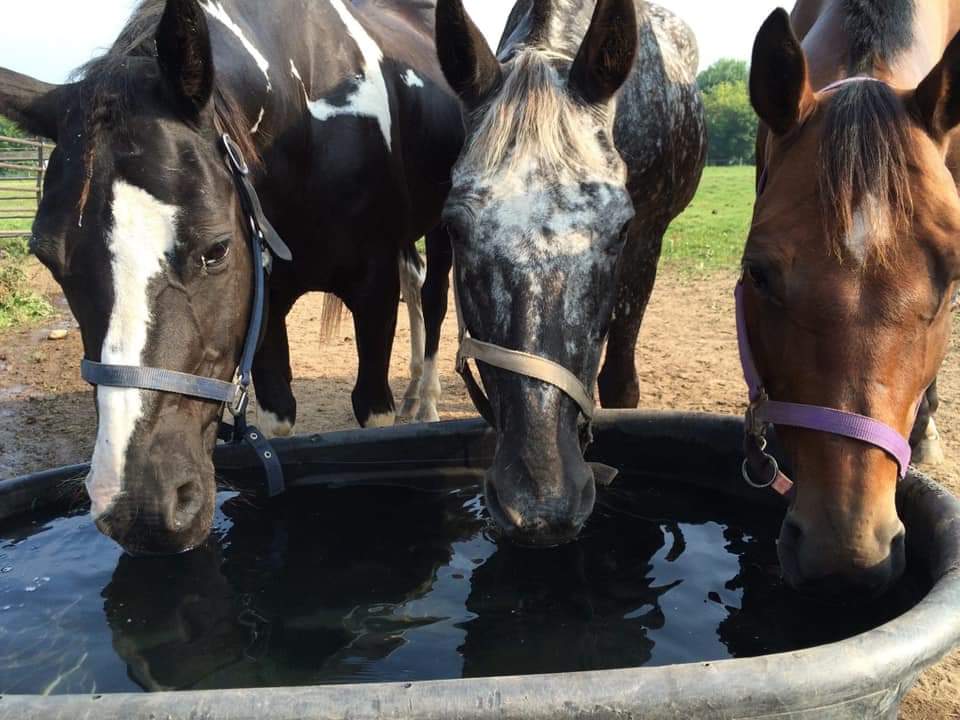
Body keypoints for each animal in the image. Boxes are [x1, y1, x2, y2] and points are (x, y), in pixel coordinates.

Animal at [0, 0, 464, 556]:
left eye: (216, 250)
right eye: (48, 258)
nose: (140, 508)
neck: (309, 123)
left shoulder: (371, 291)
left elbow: (372, 412)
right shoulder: (263, 302)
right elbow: (280, 418)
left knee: (432, 298)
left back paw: (426, 401)